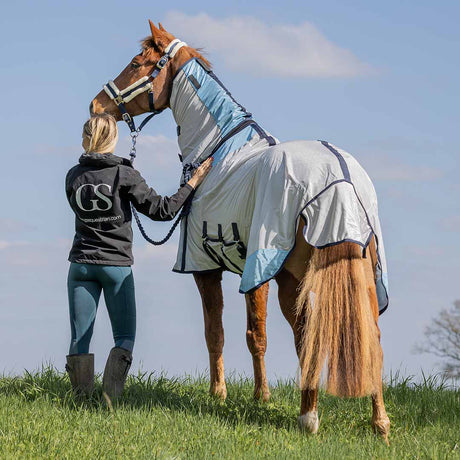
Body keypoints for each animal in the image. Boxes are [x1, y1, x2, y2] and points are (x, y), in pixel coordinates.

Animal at [90, 21, 392, 442]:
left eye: (136, 64)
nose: (96, 105)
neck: (218, 151)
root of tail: (341, 177)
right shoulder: (264, 273)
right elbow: (263, 335)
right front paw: (259, 396)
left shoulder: (220, 269)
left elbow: (225, 332)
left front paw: (229, 395)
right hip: (355, 271)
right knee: (366, 337)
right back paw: (379, 423)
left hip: (293, 274)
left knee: (311, 335)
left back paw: (309, 416)